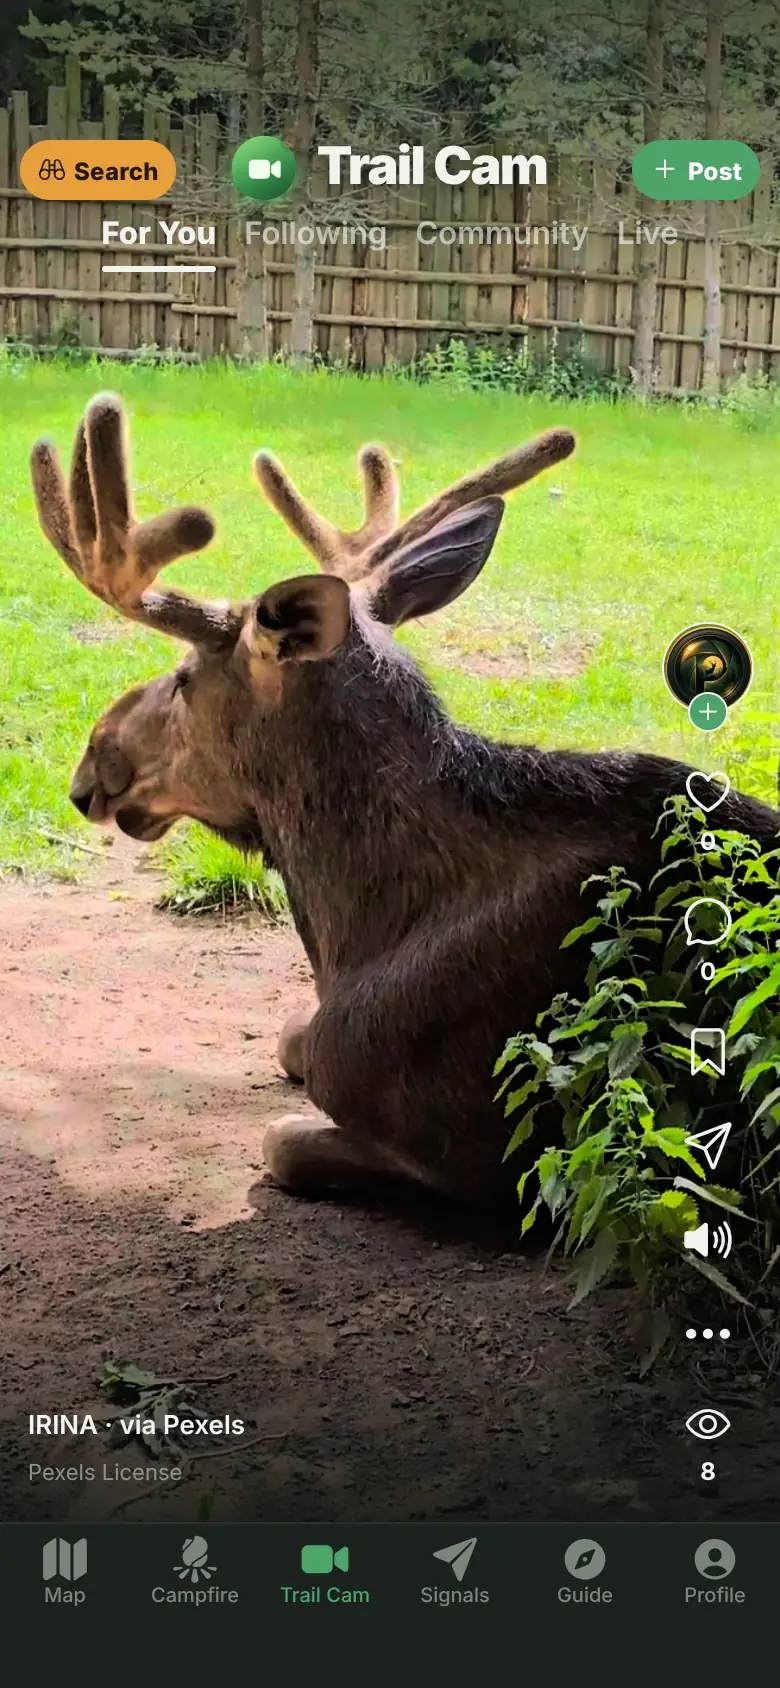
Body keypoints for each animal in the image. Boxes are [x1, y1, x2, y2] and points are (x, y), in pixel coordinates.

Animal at [31, 394, 778, 1207]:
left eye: (186, 678)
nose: (91, 764)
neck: (354, 932)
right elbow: (288, 1036)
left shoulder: (491, 1155)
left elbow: (282, 1140)